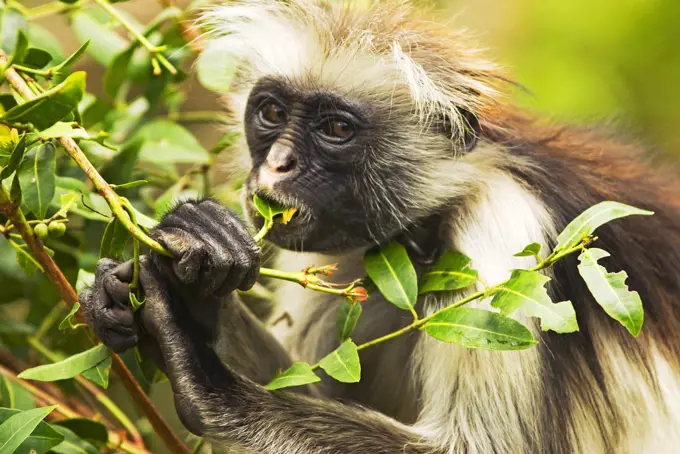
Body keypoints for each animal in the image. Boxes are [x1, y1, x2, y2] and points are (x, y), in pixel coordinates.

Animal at [77, 0, 680, 454]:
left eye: (337, 129)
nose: (276, 165)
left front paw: (199, 367)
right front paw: (191, 275)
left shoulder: (505, 233)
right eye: (271, 113)